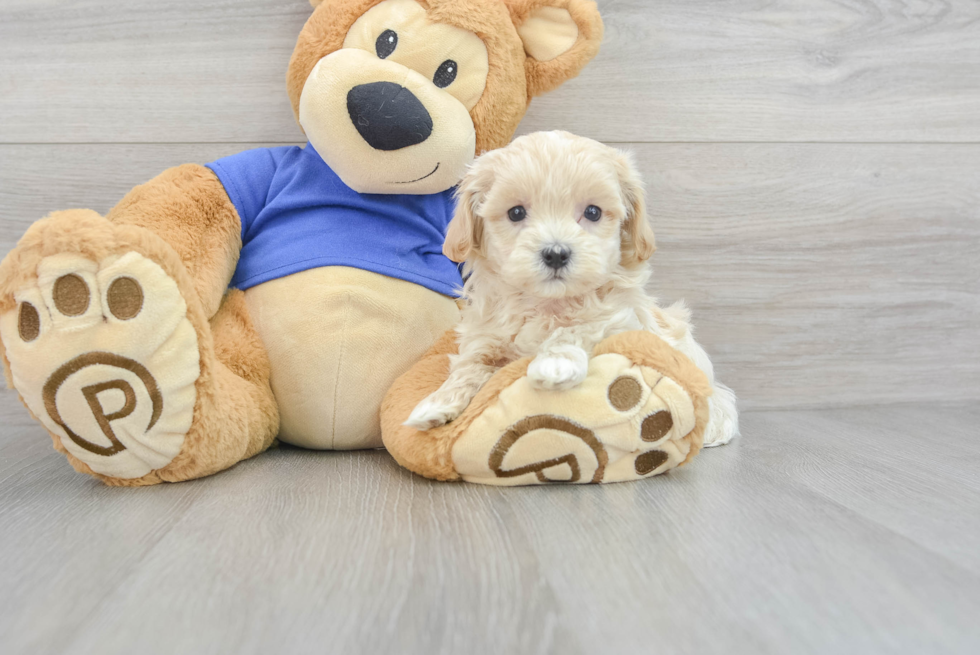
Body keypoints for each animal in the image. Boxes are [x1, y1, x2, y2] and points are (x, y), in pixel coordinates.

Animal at [404, 130, 736, 446]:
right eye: (515, 213)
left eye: (592, 212)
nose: (556, 253)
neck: (547, 303)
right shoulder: (485, 334)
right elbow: (471, 365)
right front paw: (436, 402)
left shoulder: (620, 321)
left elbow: (577, 327)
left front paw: (554, 363)